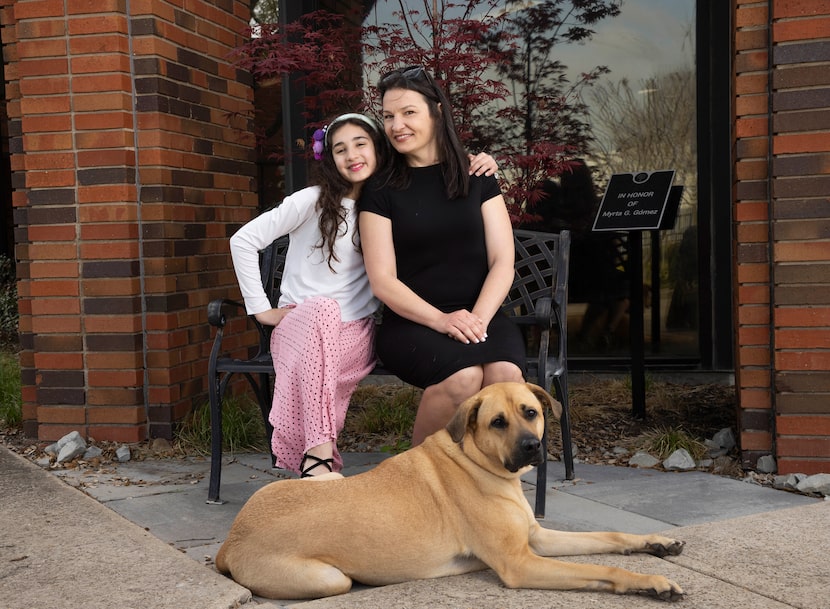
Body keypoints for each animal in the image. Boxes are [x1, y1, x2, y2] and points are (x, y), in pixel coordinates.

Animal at [218, 382, 684, 600]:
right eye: (498, 422)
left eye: (531, 412)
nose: (531, 447)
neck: (479, 463)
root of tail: (230, 540)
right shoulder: (520, 564)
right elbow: (603, 569)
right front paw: (651, 583)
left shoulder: (537, 539)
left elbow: (610, 536)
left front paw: (656, 543)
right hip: (332, 579)